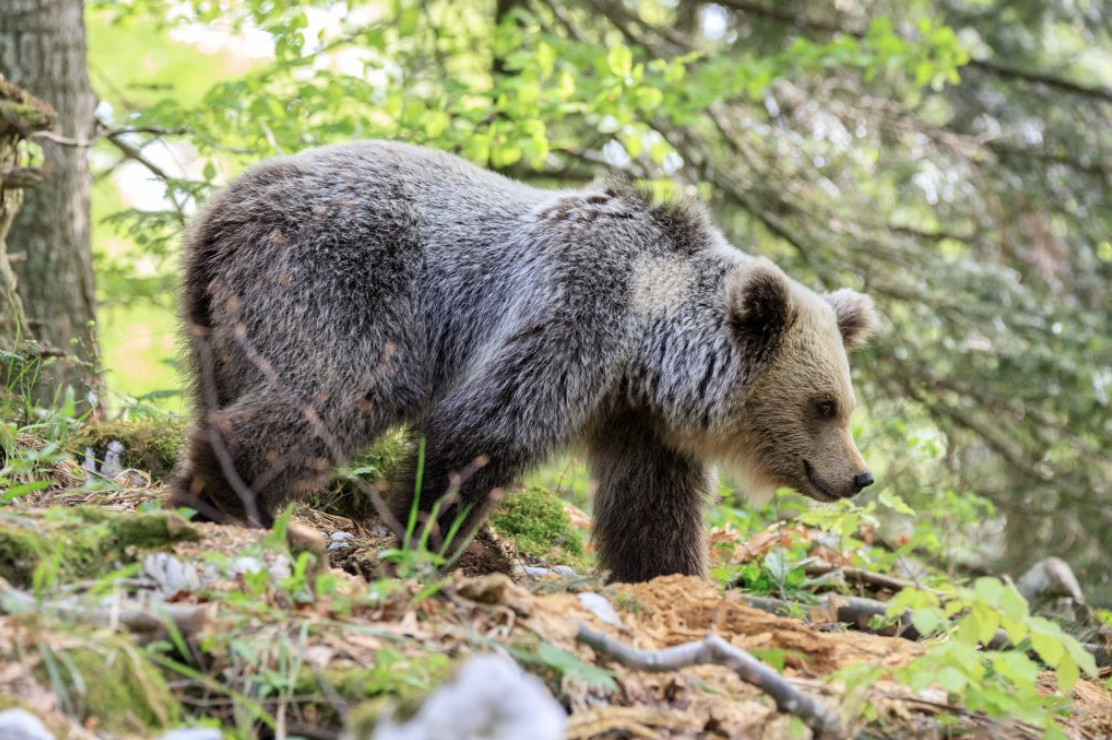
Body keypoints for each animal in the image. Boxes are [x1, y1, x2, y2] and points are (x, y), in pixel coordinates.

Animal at [169, 140, 877, 583]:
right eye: (823, 405)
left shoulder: (635, 417)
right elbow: (481, 433)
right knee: (333, 391)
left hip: (219, 324)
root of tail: (222, 210)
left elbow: (652, 506)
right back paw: (223, 495)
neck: (645, 343)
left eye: (844, 405)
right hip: (332, 281)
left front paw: (672, 575)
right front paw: (428, 539)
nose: (859, 476)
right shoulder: (571, 314)